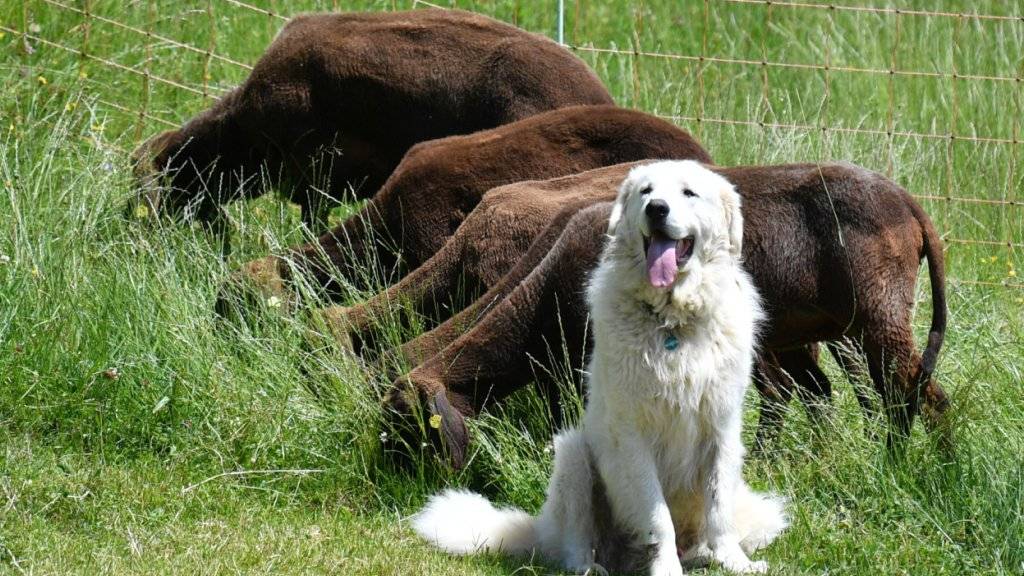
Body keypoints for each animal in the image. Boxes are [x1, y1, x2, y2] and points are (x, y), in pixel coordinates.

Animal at [380, 158, 946, 463]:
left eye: (413, 431)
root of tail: (907, 203)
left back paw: (918, 468)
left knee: (914, 394)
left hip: (878, 315)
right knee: (853, 393)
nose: (401, 490)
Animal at [409, 158, 782, 569]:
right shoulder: (634, 438)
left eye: (689, 193)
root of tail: (542, 530)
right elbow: (657, 516)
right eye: (647, 191)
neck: (672, 323)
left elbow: (718, 508)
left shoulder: (721, 430)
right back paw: (592, 566)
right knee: (576, 543)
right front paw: (666, 568)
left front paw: (734, 562)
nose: (656, 209)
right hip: (574, 455)